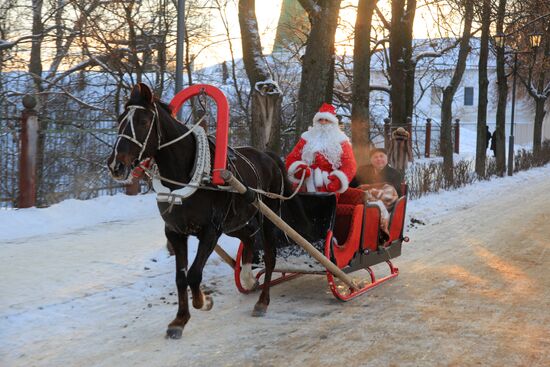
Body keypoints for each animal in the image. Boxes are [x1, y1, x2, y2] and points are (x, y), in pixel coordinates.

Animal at [106, 82, 300, 340]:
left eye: (144, 121)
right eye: (120, 119)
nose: (115, 165)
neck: (182, 179)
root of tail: (269, 157)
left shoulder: (210, 231)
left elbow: (194, 275)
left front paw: (204, 302)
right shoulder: (175, 232)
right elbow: (180, 278)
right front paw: (179, 320)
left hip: (268, 217)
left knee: (270, 257)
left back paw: (262, 301)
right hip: (236, 221)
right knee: (249, 239)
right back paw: (248, 278)